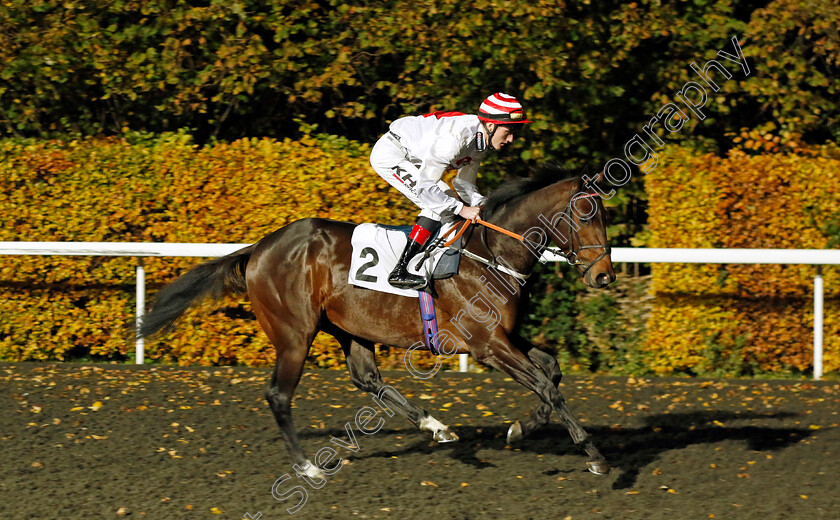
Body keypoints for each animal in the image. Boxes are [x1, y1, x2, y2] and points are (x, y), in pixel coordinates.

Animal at [138, 166, 616, 476]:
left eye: (605, 214)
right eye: (585, 213)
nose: (604, 275)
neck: (491, 254)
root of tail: (259, 248)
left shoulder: (504, 335)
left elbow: (551, 372)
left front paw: (520, 429)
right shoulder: (487, 344)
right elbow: (545, 384)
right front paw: (594, 455)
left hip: (349, 329)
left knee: (367, 379)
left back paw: (436, 427)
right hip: (294, 334)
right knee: (279, 395)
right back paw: (307, 467)